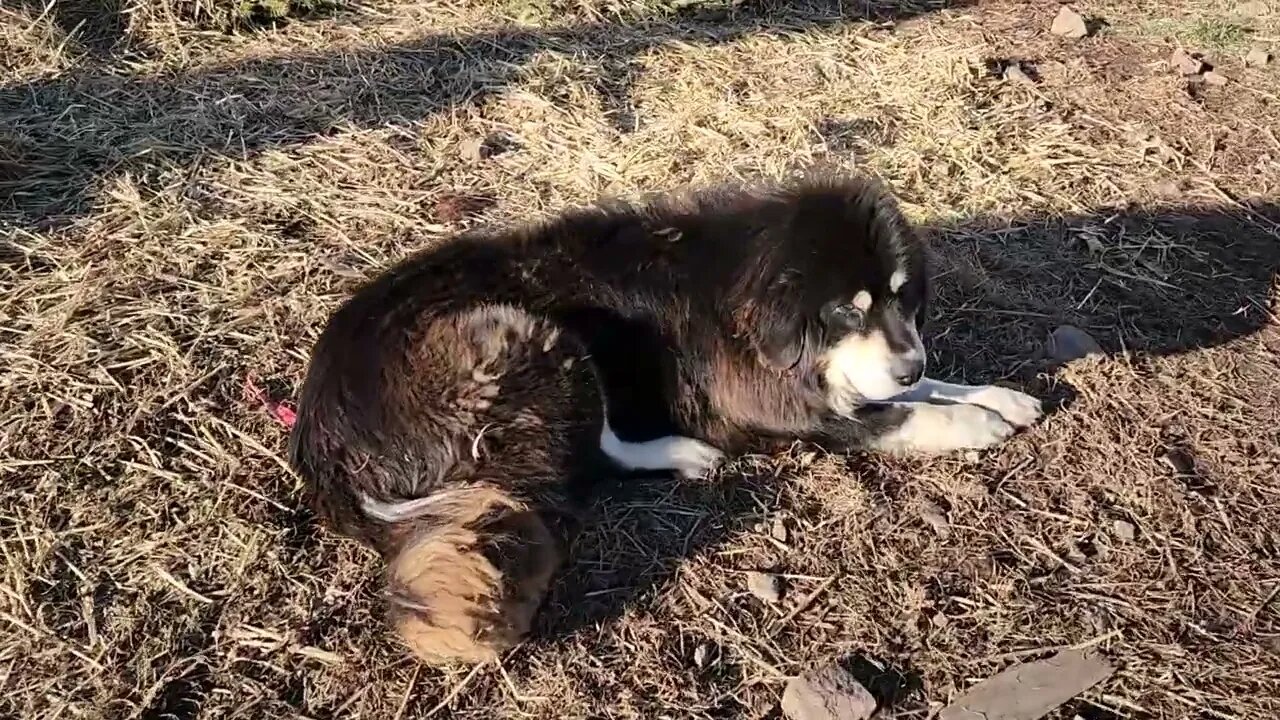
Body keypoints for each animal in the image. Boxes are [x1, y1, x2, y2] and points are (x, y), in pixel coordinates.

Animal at [290, 170, 1039, 666]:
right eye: (846, 311)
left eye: (903, 299)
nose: (910, 361)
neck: (751, 310)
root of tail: (325, 446)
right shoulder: (782, 410)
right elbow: (895, 417)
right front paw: (973, 423)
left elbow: (924, 391)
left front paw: (993, 394)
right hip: (527, 337)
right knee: (591, 454)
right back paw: (680, 453)